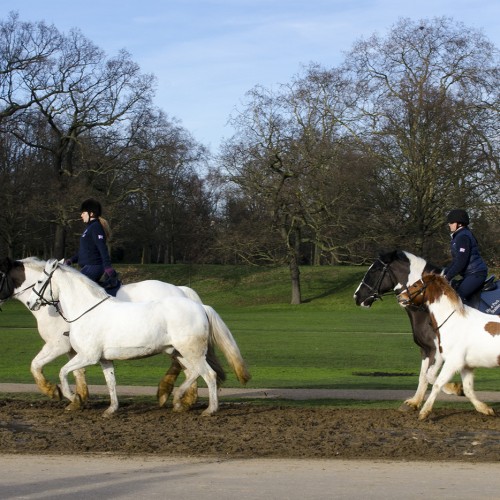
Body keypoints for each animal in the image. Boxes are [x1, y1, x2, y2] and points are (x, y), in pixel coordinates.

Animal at [26, 258, 249, 418]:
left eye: (39, 281)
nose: (30, 302)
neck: (86, 311)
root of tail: (201, 307)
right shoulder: (104, 359)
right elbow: (111, 382)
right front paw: (111, 410)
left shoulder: (87, 356)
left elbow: (63, 372)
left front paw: (73, 397)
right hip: (181, 352)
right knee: (194, 373)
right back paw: (177, 401)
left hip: (191, 352)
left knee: (208, 375)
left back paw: (209, 410)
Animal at [398, 276, 500, 420]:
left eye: (416, 285)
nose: (400, 297)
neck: (454, 323)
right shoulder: (466, 366)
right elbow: (468, 390)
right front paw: (485, 409)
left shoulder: (452, 362)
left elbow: (436, 384)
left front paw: (424, 412)